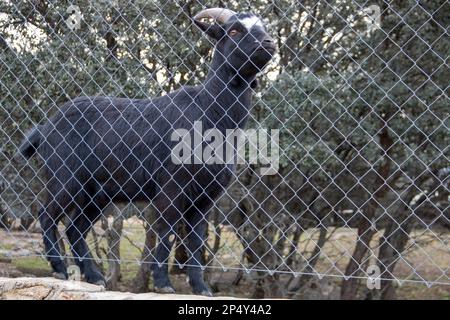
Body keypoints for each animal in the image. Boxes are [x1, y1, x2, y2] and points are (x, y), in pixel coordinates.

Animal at [19, 6, 276, 296]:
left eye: (263, 27)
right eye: (233, 31)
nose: (268, 43)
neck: (208, 112)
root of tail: (45, 128)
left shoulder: (205, 196)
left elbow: (196, 241)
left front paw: (201, 288)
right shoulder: (171, 186)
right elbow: (166, 232)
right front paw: (163, 284)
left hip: (97, 193)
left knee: (75, 228)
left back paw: (95, 276)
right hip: (66, 178)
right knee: (47, 215)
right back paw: (60, 269)